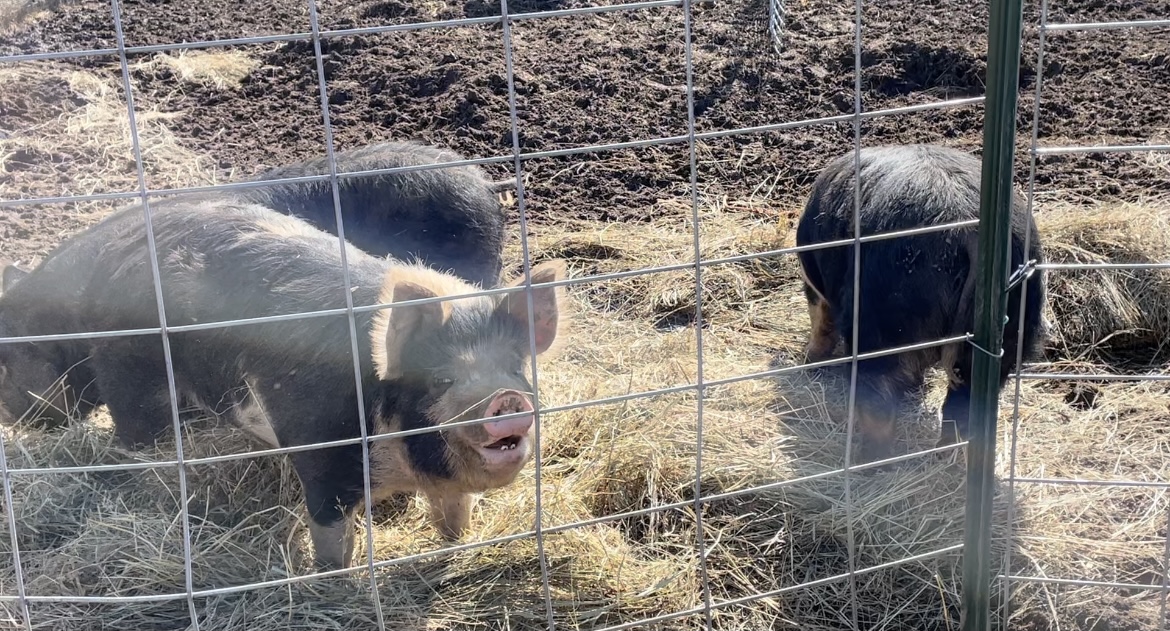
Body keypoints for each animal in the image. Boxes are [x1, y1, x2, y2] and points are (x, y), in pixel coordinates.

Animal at [0, 196, 569, 570]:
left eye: (516, 367)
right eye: (442, 378)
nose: (506, 397)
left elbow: (454, 520)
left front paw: (453, 549)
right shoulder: (318, 445)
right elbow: (331, 534)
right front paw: (334, 582)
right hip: (132, 373)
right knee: (141, 437)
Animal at [794, 144, 1046, 464]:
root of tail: (968, 226)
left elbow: (820, 319)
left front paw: (809, 362)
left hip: (880, 317)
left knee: (877, 397)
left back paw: (869, 462)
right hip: (1015, 320)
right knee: (964, 403)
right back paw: (944, 457)